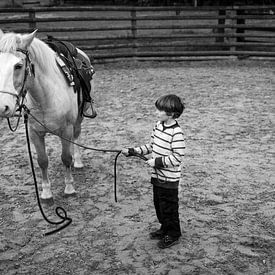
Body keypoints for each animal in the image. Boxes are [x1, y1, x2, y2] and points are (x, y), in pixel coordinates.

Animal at [0, 29, 95, 203]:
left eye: (18, 65)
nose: (3, 107)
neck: (45, 96)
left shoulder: (66, 129)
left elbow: (65, 157)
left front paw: (69, 188)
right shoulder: (34, 133)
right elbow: (42, 161)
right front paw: (46, 193)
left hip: (79, 117)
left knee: (76, 135)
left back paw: (77, 162)